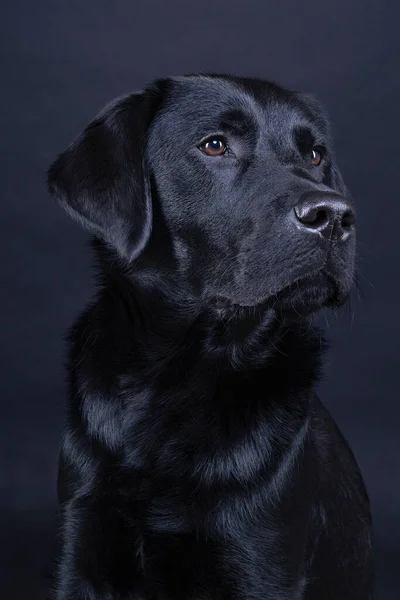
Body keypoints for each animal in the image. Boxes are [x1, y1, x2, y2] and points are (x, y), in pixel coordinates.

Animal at [48, 75, 374, 600]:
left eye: (315, 155)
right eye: (214, 145)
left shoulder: (259, 558)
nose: (334, 216)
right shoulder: (83, 543)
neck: (178, 378)